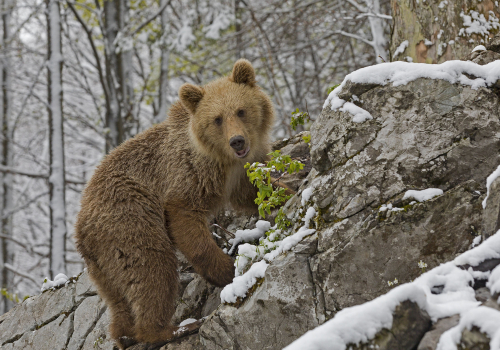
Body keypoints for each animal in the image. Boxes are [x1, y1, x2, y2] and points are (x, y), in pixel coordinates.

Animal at [75, 59, 276, 348]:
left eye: (241, 110)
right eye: (217, 119)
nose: (237, 141)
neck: (222, 160)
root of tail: (81, 225)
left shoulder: (240, 174)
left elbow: (255, 192)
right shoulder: (186, 176)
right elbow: (186, 219)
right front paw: (228, 269)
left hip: (103, 261)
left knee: (119, 295)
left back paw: (124, 334)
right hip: (129, 216)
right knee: (152, 267)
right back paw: (176, 328)